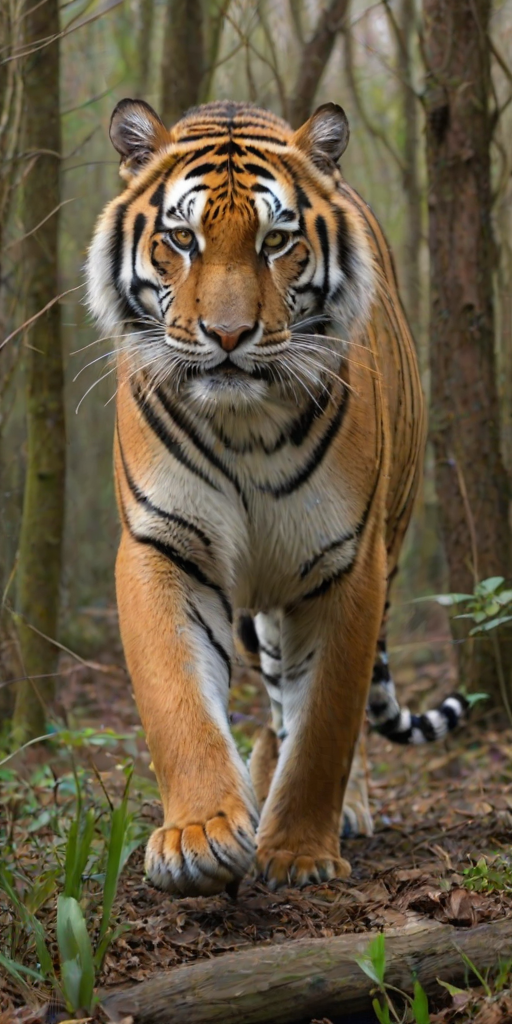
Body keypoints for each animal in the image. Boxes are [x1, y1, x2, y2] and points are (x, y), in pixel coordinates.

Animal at [86, 98, 468, 896]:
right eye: (182, 238)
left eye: (277, 240)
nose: (228, 335)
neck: (244, 423)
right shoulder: (163, 543)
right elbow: (177, 702)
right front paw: (200, 835)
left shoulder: (347, 562)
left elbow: (325, 722)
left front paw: (296, 850)